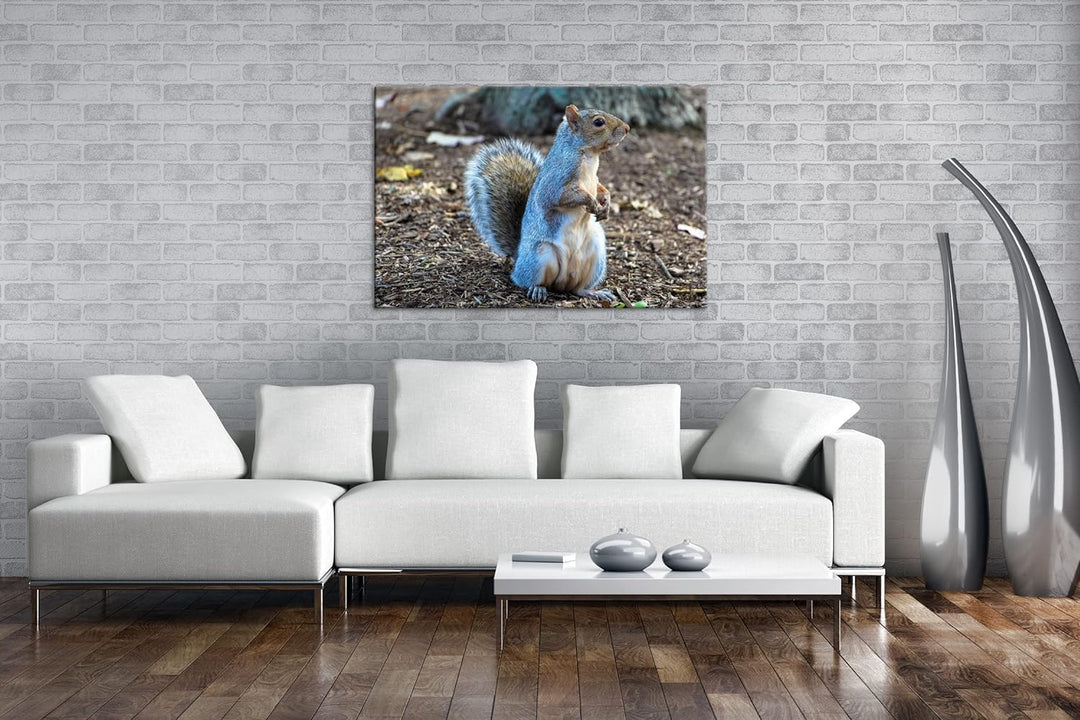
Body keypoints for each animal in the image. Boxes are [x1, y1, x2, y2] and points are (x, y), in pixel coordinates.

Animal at [464, 104, 630, 302]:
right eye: (598, 122)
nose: (627, 128)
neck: (590, 156)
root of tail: (518, 258)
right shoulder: (556, 180)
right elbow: (560, 197)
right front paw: (593, 203)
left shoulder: (594, 180)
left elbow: (600, 188)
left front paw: (606, 203)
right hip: (540, 256)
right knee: (531, 281)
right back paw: (538, 289)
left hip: (595, 255)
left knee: (578, 289)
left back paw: (593, 292)